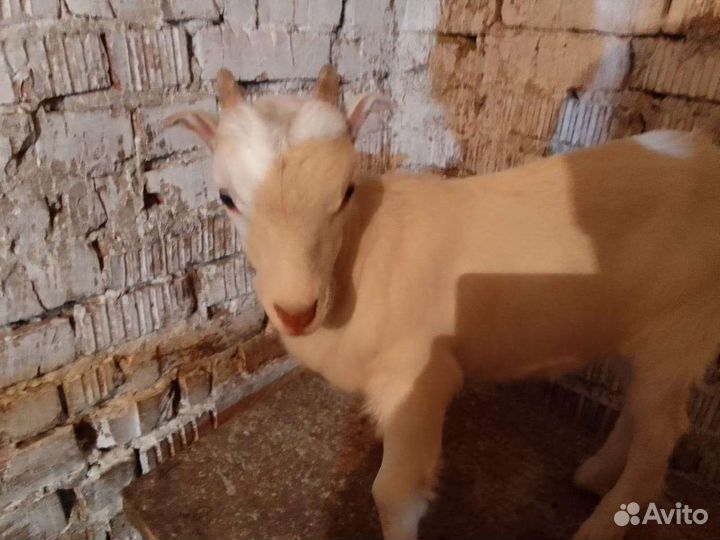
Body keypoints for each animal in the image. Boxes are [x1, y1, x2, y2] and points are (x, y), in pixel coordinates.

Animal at [167, 65, 720, 540]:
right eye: (226, 198)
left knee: (663, 431)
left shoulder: (419, 378)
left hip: (681, 330)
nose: (297, 312)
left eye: (346, 192)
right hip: (643, 332)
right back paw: (597, 474)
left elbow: (392, 493)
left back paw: (604, 522)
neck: (360, 257)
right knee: (640, 406)